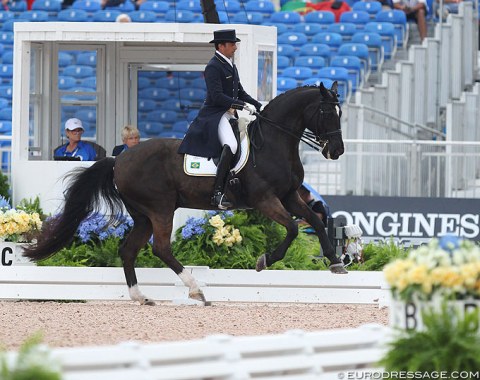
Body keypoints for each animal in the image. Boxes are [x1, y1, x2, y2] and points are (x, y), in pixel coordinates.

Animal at [23, 82, 344, 306]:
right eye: (327, 112)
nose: (337, 151)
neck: (274, 144)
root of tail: (119, 160)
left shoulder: (289, 196)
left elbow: (316, 222)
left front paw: (336, 262)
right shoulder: (265, 200)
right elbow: (292, 228)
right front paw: (264, 261)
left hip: (144, 215)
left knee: (129, 250)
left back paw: (142, 297)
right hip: (161, 208)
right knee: (161, 249)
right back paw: (196, 290)